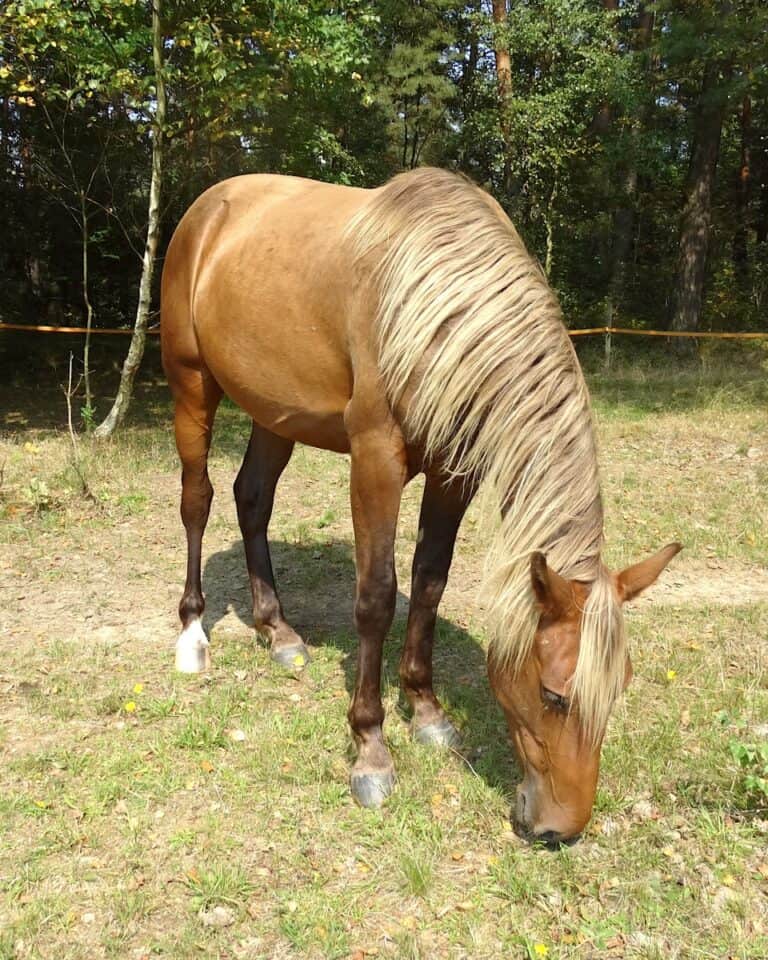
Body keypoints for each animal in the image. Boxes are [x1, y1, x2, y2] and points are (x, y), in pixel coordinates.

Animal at [160, 167, 680, 843]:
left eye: (620, 688)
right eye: (554, 695)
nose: (558, 830)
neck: (437, 300)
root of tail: (209, 208)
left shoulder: (455, 471)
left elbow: (430, 581)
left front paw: (427, 711)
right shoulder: (375, 460)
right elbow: (377, 596)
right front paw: (371, 750)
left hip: (274, 412)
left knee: (253, 498)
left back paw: (279, 632)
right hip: (192, 385)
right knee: (197, 501)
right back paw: (193, 635)